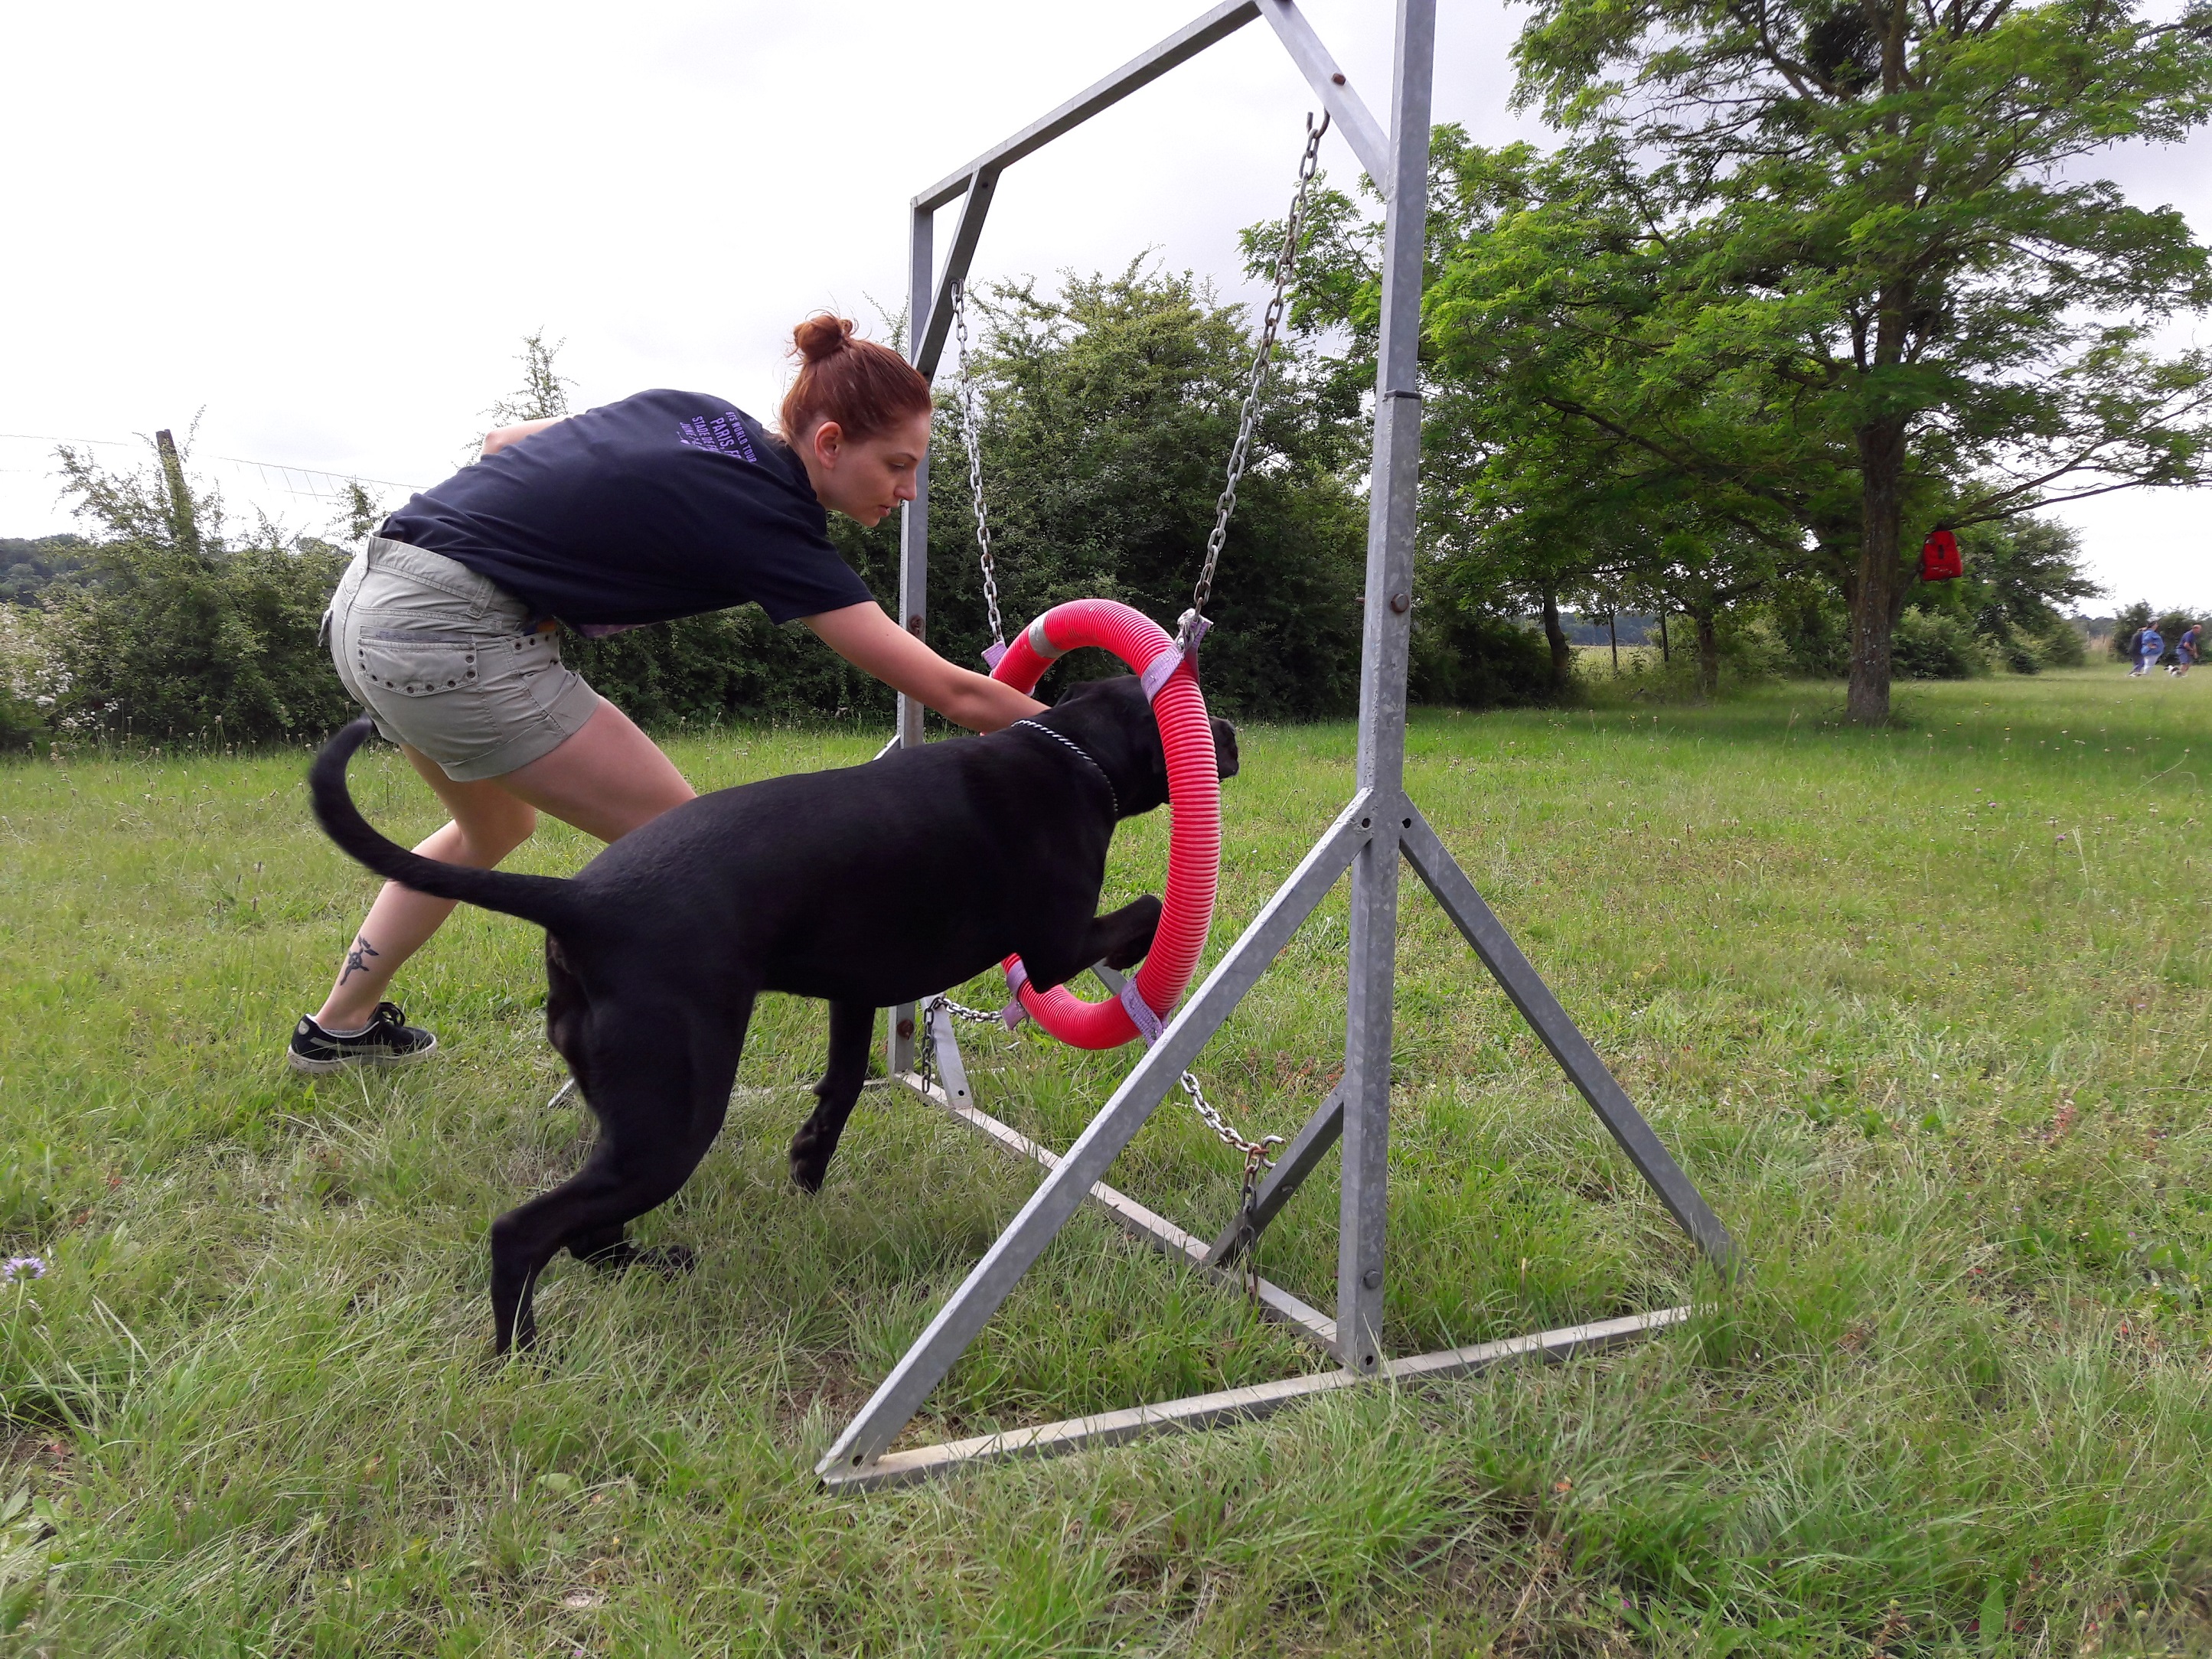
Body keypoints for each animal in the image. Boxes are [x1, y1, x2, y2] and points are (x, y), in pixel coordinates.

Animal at [307, 676, 1247, 1354]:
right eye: (1197, 703)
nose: (1232, 736)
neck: (1073, 750)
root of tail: (579, 900)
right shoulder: (1053, 944)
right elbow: (1147, 907)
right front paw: (1149, 961)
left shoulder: (856, 989)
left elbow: (842, 1086)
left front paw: (807, 1164)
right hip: (673, 1120)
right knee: (525, 1231)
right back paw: (521, 1356)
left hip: (636, 1117)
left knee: (587, 1231)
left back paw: (650, 1266)